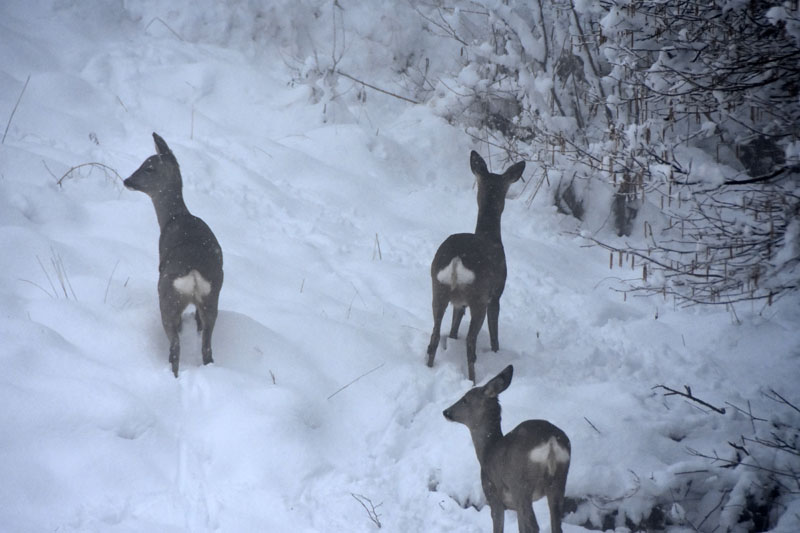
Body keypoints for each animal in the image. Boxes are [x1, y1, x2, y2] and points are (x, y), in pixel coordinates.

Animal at [124, 133, 224, 378]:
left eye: (148, 167)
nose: (127, 180)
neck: (174, 217)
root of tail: (194, 274)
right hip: (212, 297)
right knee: (207, 346)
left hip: (167, 296)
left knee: (175, 344)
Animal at [427, 151, 525, 382]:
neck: (490, 236)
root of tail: (456, 260)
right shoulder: (496, 293)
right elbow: (494, 330)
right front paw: (497, 352)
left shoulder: (459, 303)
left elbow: (454, 328)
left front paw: (453, 337)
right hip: (478, 297)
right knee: (470, 343)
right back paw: (473, 381)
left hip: (438, 288)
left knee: (434, 335)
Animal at [443, 365, 571, 533]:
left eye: (465, 399)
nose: (446, 412)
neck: (487, 451)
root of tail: (550, 442)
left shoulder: (493, 494)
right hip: (559, 480)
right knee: (556, 525)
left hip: (521, 485)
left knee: (534, 525)